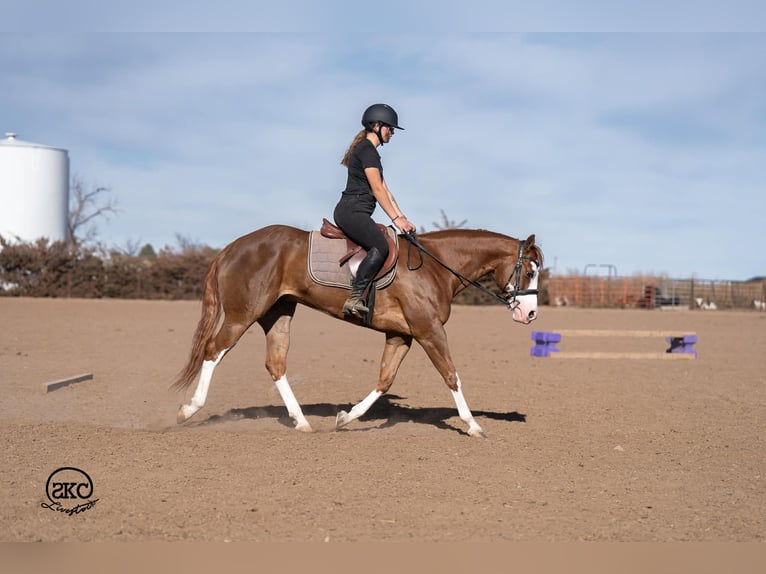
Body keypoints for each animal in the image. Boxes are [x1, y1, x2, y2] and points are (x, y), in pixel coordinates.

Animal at [172, 224, 543, 437]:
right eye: (529, 272)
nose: (530, 313)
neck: (436, 265)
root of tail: (232, 247)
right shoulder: (429, 331)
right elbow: (451, 375)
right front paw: (474, 425)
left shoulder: (402, 335)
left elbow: (384, 380)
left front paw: (346, 418)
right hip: (243, 314)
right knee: (213, 352)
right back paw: (188, 410)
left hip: (278, 313)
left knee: (275, 365)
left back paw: (301, 421)